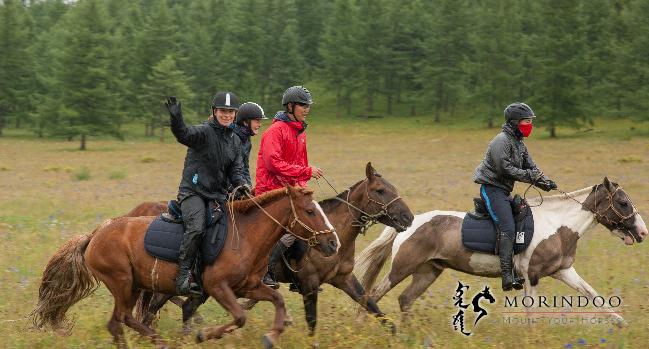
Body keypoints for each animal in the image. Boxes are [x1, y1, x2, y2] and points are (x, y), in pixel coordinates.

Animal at [30, 186, 340, 346]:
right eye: (310, 211)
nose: (333, 243)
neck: (245, 236)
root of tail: (95, 235)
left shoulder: (249, 286)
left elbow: (276, 300)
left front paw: (272, 335)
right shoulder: (217, 287)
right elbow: (240, 316)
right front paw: (205, 334)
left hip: (134, 286)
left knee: (121, 321)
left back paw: (155, 340)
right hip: (123, 283)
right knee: (122, 320)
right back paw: (158, 340)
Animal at [356, 177, 644, 324]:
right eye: (623, 202)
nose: (643, 232)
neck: (556, 224)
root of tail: (409, 222)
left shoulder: (564, 271)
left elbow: (593, 295)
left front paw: (619, 322)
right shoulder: (530, 276)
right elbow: (531, 314)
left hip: (428, 271)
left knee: (405, 300)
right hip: (401, 267)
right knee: (372, 294)